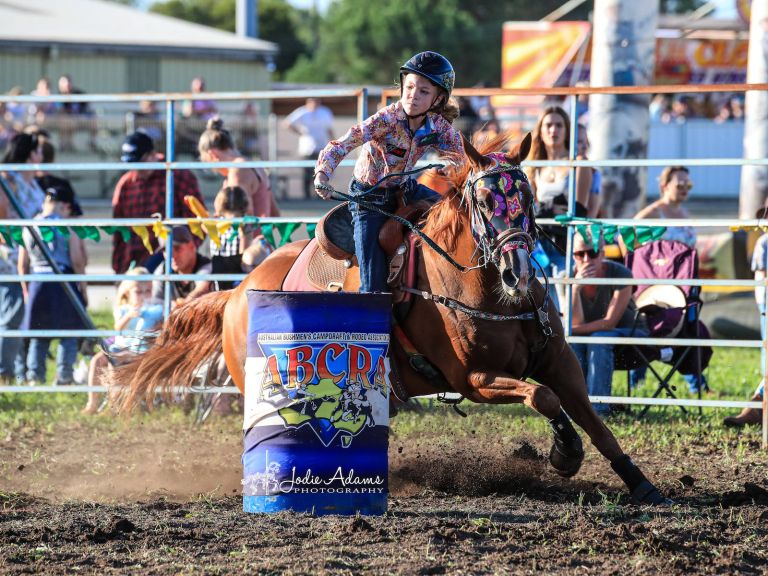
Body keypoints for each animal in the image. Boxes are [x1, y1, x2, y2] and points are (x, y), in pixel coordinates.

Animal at [112, 134, 664, 504]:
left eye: (525, 198)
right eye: (485, 200)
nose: (517, 271)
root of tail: (235, 293)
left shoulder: (561, 361)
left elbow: (592, 419)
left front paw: (641, 483)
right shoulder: (474, 379)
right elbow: (545, 398)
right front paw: (564, 454)